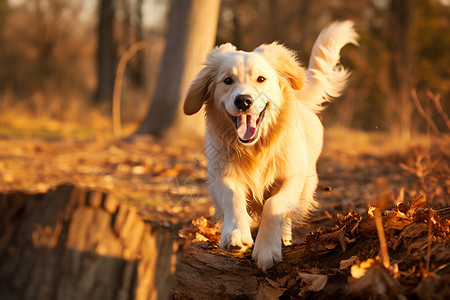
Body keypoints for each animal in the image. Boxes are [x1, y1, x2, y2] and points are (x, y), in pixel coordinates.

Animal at [183, 20, 358, 270]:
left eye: (261, 79)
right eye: (227, 80)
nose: (243, 100)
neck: (255, 149)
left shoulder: (293, 177)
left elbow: (274, 204)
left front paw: (267, 249)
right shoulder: (220, 176)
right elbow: (233, 195)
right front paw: (236, 234)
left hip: (307, 185)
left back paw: (283, 238)